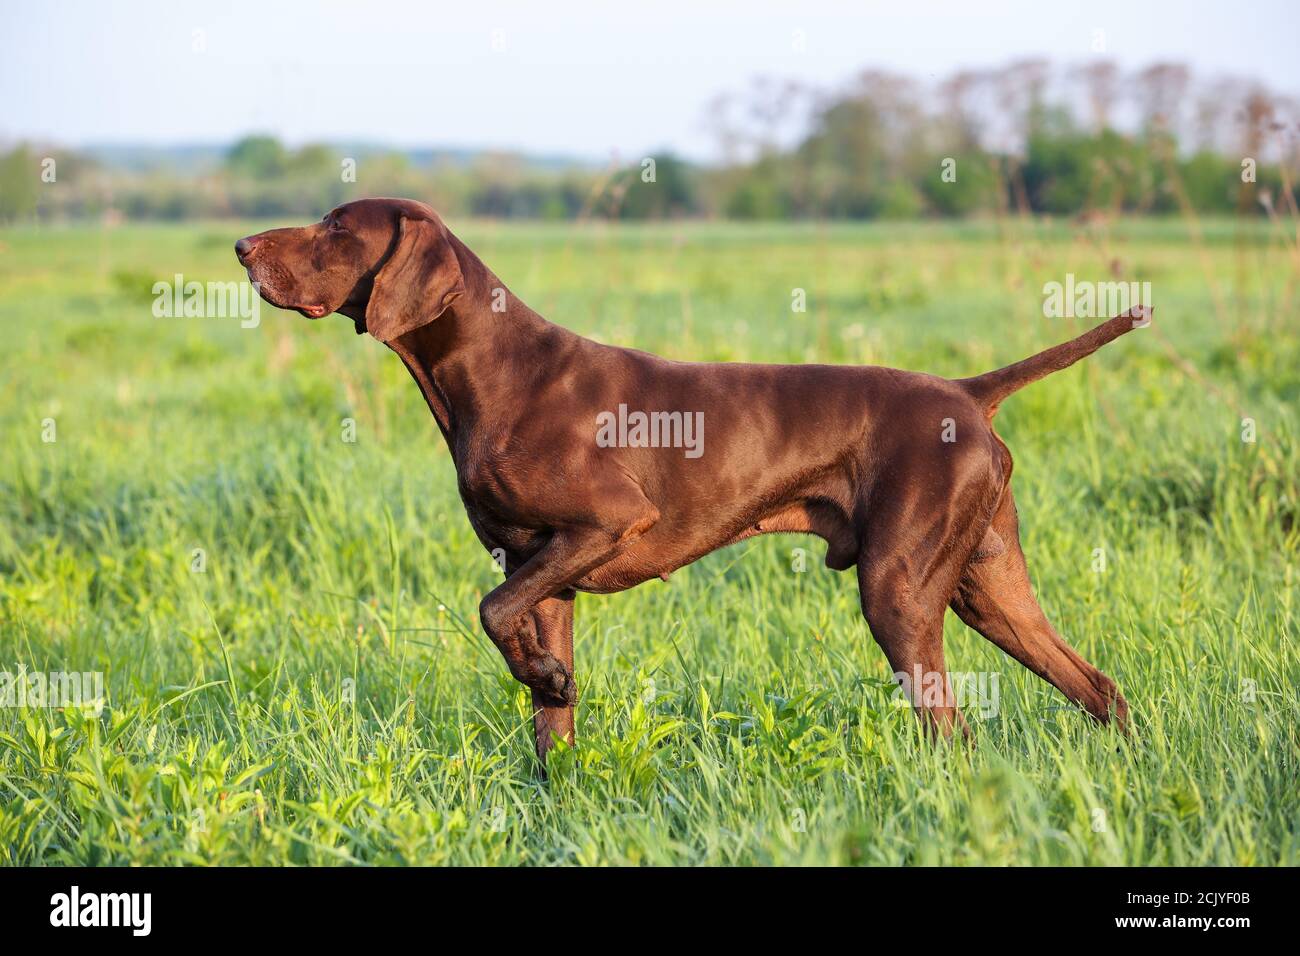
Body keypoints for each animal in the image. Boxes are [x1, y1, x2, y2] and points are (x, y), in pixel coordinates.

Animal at [239, 197, 1144, 764]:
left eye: (335, 228)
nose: (242, 249)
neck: (493, 372)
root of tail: (966, 392)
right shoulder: (546, 574)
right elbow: (546, 711)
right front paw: (553, 751)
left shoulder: (606, 523)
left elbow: (490, 612)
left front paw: (544, 675)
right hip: (988, 588)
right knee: (1099, 689)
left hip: (901, 591)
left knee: (951, 727)